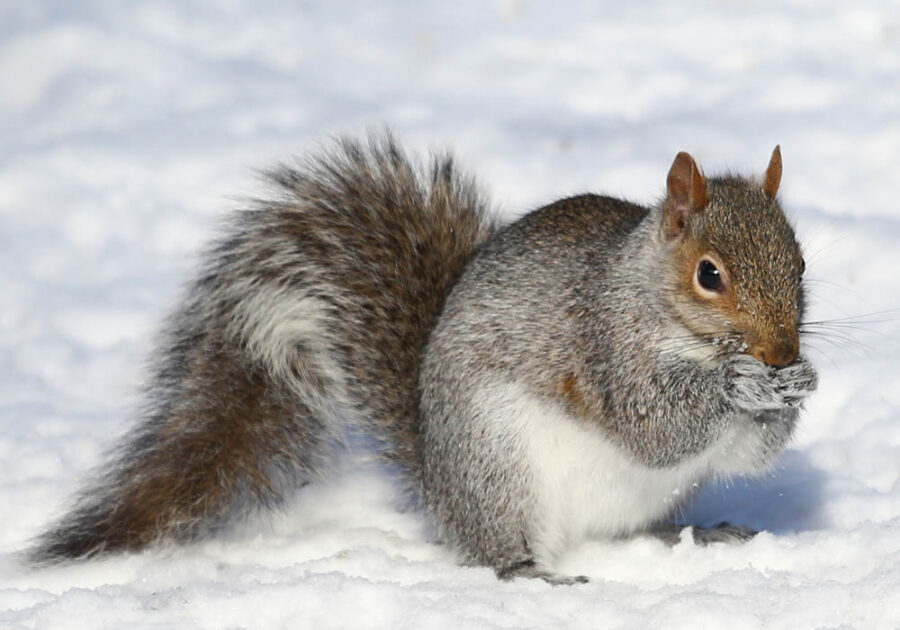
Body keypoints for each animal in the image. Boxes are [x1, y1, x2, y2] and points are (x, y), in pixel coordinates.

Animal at [31, 134, 817, 584]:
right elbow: (653, 425)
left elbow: (747, 453)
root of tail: (438, 480)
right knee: (494, 551)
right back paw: (529, 572)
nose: (783, 349)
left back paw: (702, 535)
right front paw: (739, 382)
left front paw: (798, 386)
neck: (661, 309)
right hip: (497, 463)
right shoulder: (602, 347)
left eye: (802, 263)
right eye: (709, 275)